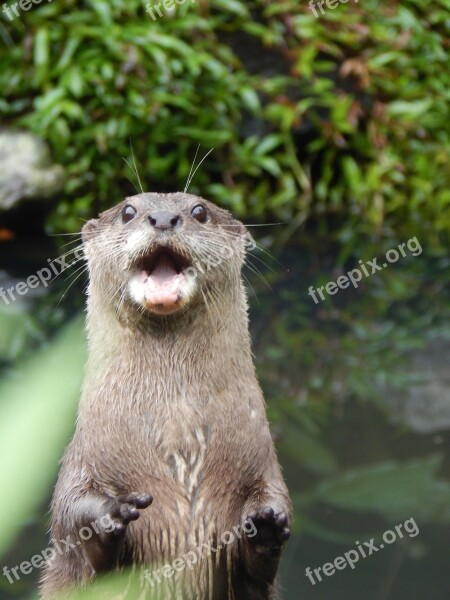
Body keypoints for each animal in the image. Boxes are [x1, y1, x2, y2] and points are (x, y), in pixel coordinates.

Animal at [39, 192, 292, 600]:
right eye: (128, 211)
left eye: (200, 211)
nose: (162, 218)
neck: (178, 433)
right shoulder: (84, 459)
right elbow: (70, 516)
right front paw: (109, 514)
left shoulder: (261, 464)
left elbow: (270, 519)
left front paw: (265, 529)